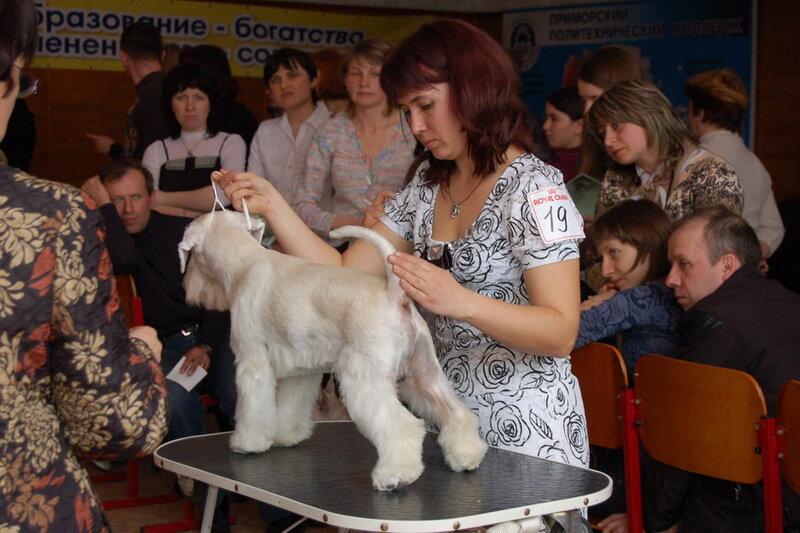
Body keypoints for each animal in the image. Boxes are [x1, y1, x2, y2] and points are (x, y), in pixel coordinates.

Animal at [178, 210, 488, 488]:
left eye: (193, 257)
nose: (189, 287)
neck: (245, 263)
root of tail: (394, 294)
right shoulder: (301, 370)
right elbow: (291, 407)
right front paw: (288, 436)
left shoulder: (253, 361)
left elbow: (253, 408)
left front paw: (247, 442)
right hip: (423, 374)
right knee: (457, 414)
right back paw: (466, 456)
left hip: (367, 380)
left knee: (401, 424)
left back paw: (395, 474)